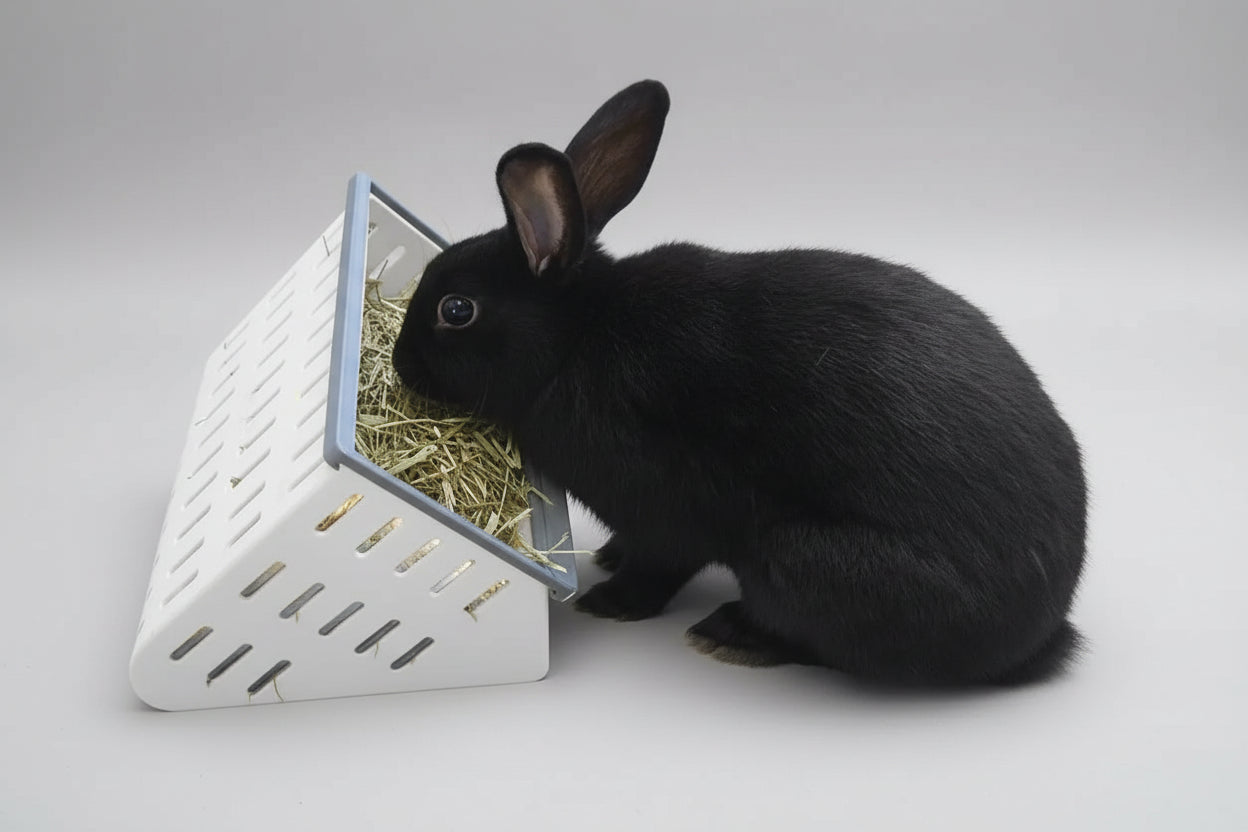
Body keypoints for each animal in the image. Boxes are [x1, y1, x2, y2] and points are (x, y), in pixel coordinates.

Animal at [392, 80, 1087, 686]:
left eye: (457, 310)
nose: (400, 364)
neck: (576, 339)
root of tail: (1044, 634)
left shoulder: (664, 503)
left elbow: (661, 562)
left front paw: (609, 601)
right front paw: (609, 557)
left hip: (801, 560)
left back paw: (729, 634)